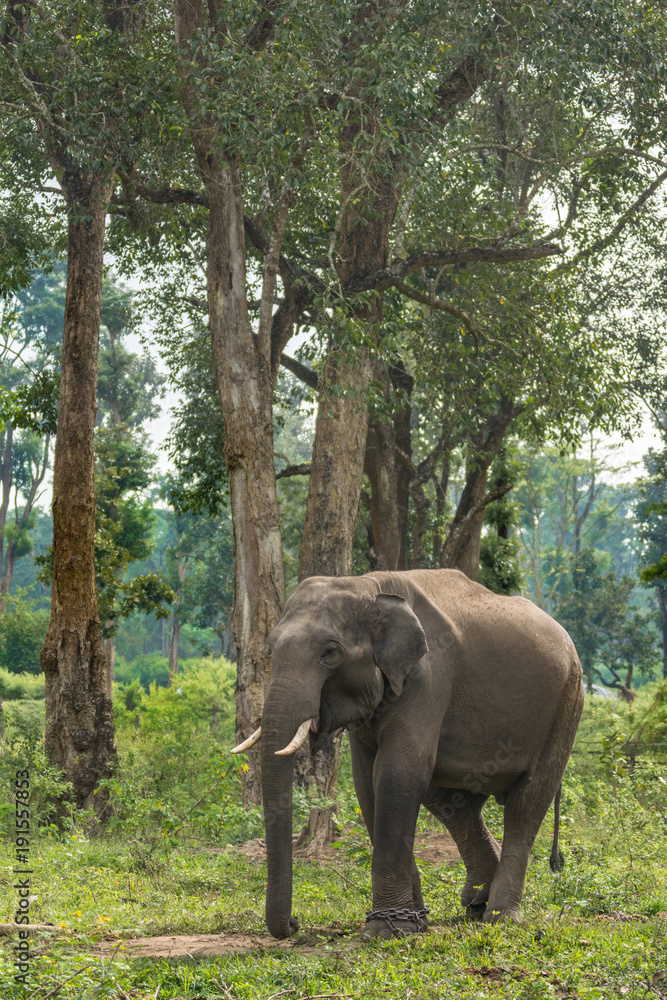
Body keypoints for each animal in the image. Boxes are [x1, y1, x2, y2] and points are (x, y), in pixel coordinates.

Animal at [232, 568, 584, 940]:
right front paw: (412, 923)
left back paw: (501, 918)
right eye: (271, 649)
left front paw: (387, 930)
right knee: (453, 802)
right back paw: (476, 903)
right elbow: (367, 783)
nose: (295, 923)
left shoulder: (428, 678)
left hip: (566, 705)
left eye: (329, 652)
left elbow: (395, 773)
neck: (368, 586)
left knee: (526, 803)